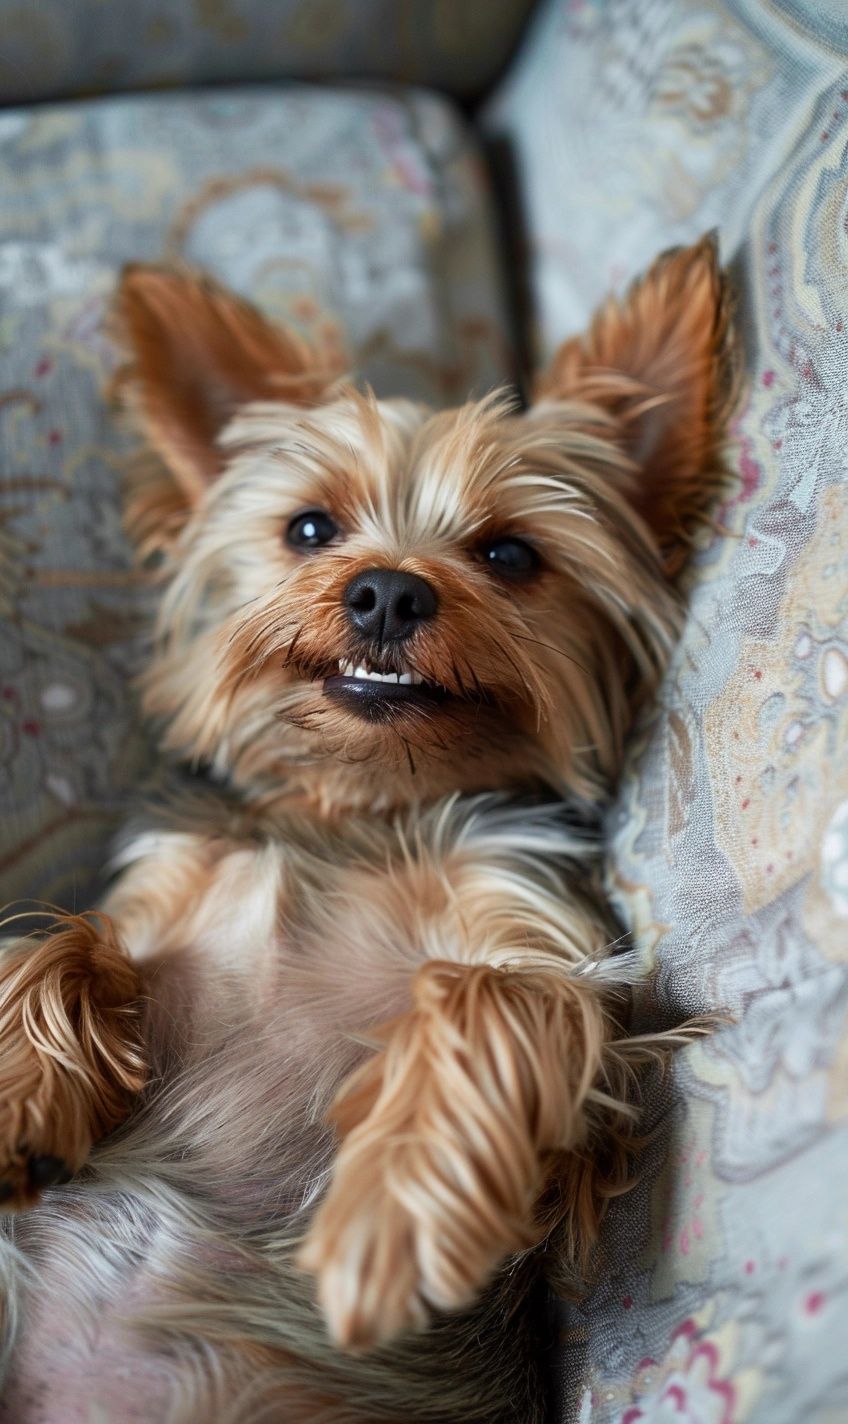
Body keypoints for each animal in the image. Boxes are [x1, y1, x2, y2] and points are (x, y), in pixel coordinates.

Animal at [0, 239, 734, 1418]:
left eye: (510, 554)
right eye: (309, 527)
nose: (387, 591)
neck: (359, 812)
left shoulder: (556, 946)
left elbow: (486, 993)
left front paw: (388, 1218)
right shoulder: (163, 891)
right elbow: (66, 941)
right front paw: (20, 1094)